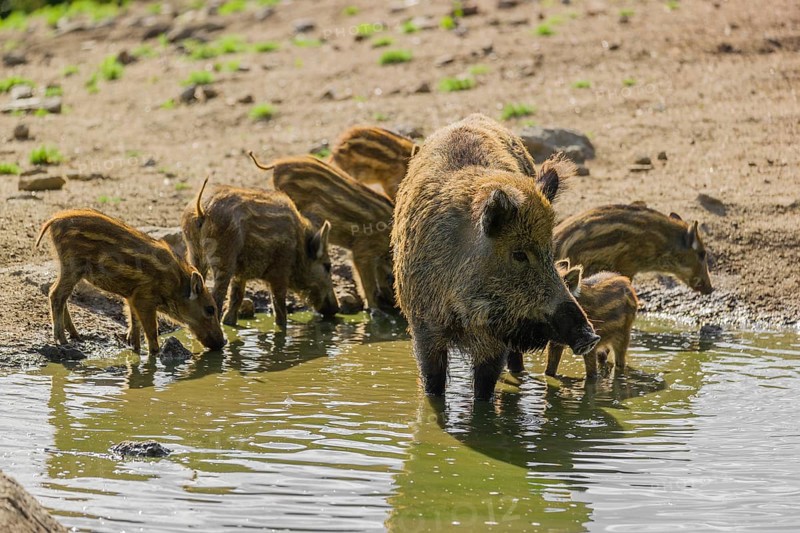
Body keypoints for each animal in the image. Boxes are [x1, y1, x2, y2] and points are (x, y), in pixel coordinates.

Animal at [35, 209, 226, 355]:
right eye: (210, 309)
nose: (223, 343)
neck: (175, 284)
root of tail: (55, 220)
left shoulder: (132, 296)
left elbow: (134, 325)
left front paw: (135, 349)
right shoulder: (144, 299)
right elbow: (151, 332)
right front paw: (153, 354)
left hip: (70, 269)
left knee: (60, 295)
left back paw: (76, 335)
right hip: (72, 266)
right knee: (56, 294)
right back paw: (62, 340)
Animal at [181, 179, 339, 328]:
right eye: (327, 266)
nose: (336, 309)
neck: (299, 248)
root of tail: (201, 211)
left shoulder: (240, 274)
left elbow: (236, 298)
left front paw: (229, 322)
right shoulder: (280, 271)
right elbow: (279, 306)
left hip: (195, 254)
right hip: (223, 258)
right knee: (216, 299)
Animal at [391, 113, 600, 400]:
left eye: (551, 251)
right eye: (519, 254)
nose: (590, 337)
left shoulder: (496, 341)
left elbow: (484, 391)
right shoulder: (424, 327)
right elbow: (433, 386)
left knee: (516, 363)